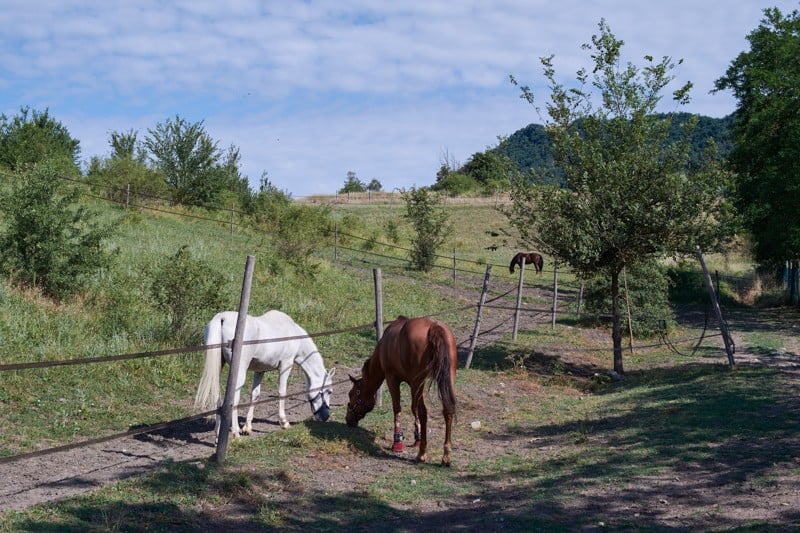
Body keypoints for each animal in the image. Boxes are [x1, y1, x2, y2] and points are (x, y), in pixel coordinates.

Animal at [194, 310, 336, 440]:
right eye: (329, 391)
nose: (326, 417)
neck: (294, 334)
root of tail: (222, 318)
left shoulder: (260, 370)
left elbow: (255, 395)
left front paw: (247, 427)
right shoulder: (286, 364)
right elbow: (282, 392)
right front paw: (284, 422)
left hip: (218, 367)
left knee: (218, 398)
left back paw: (218, 434)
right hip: (239, 372)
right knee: (233, 400)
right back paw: (235, 433)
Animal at [345, 316, 457, 466]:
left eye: (351, 394)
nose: (348, 420)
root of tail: (434, 327)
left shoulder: (392, 378)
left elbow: (397, 408)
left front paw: (398, 442)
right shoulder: (411, 383)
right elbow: (413, 408)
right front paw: (417, 437)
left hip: (418, 381)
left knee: (424, 412)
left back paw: (422, 454)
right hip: (446, 378)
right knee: (448, 409)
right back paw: (446, 456)